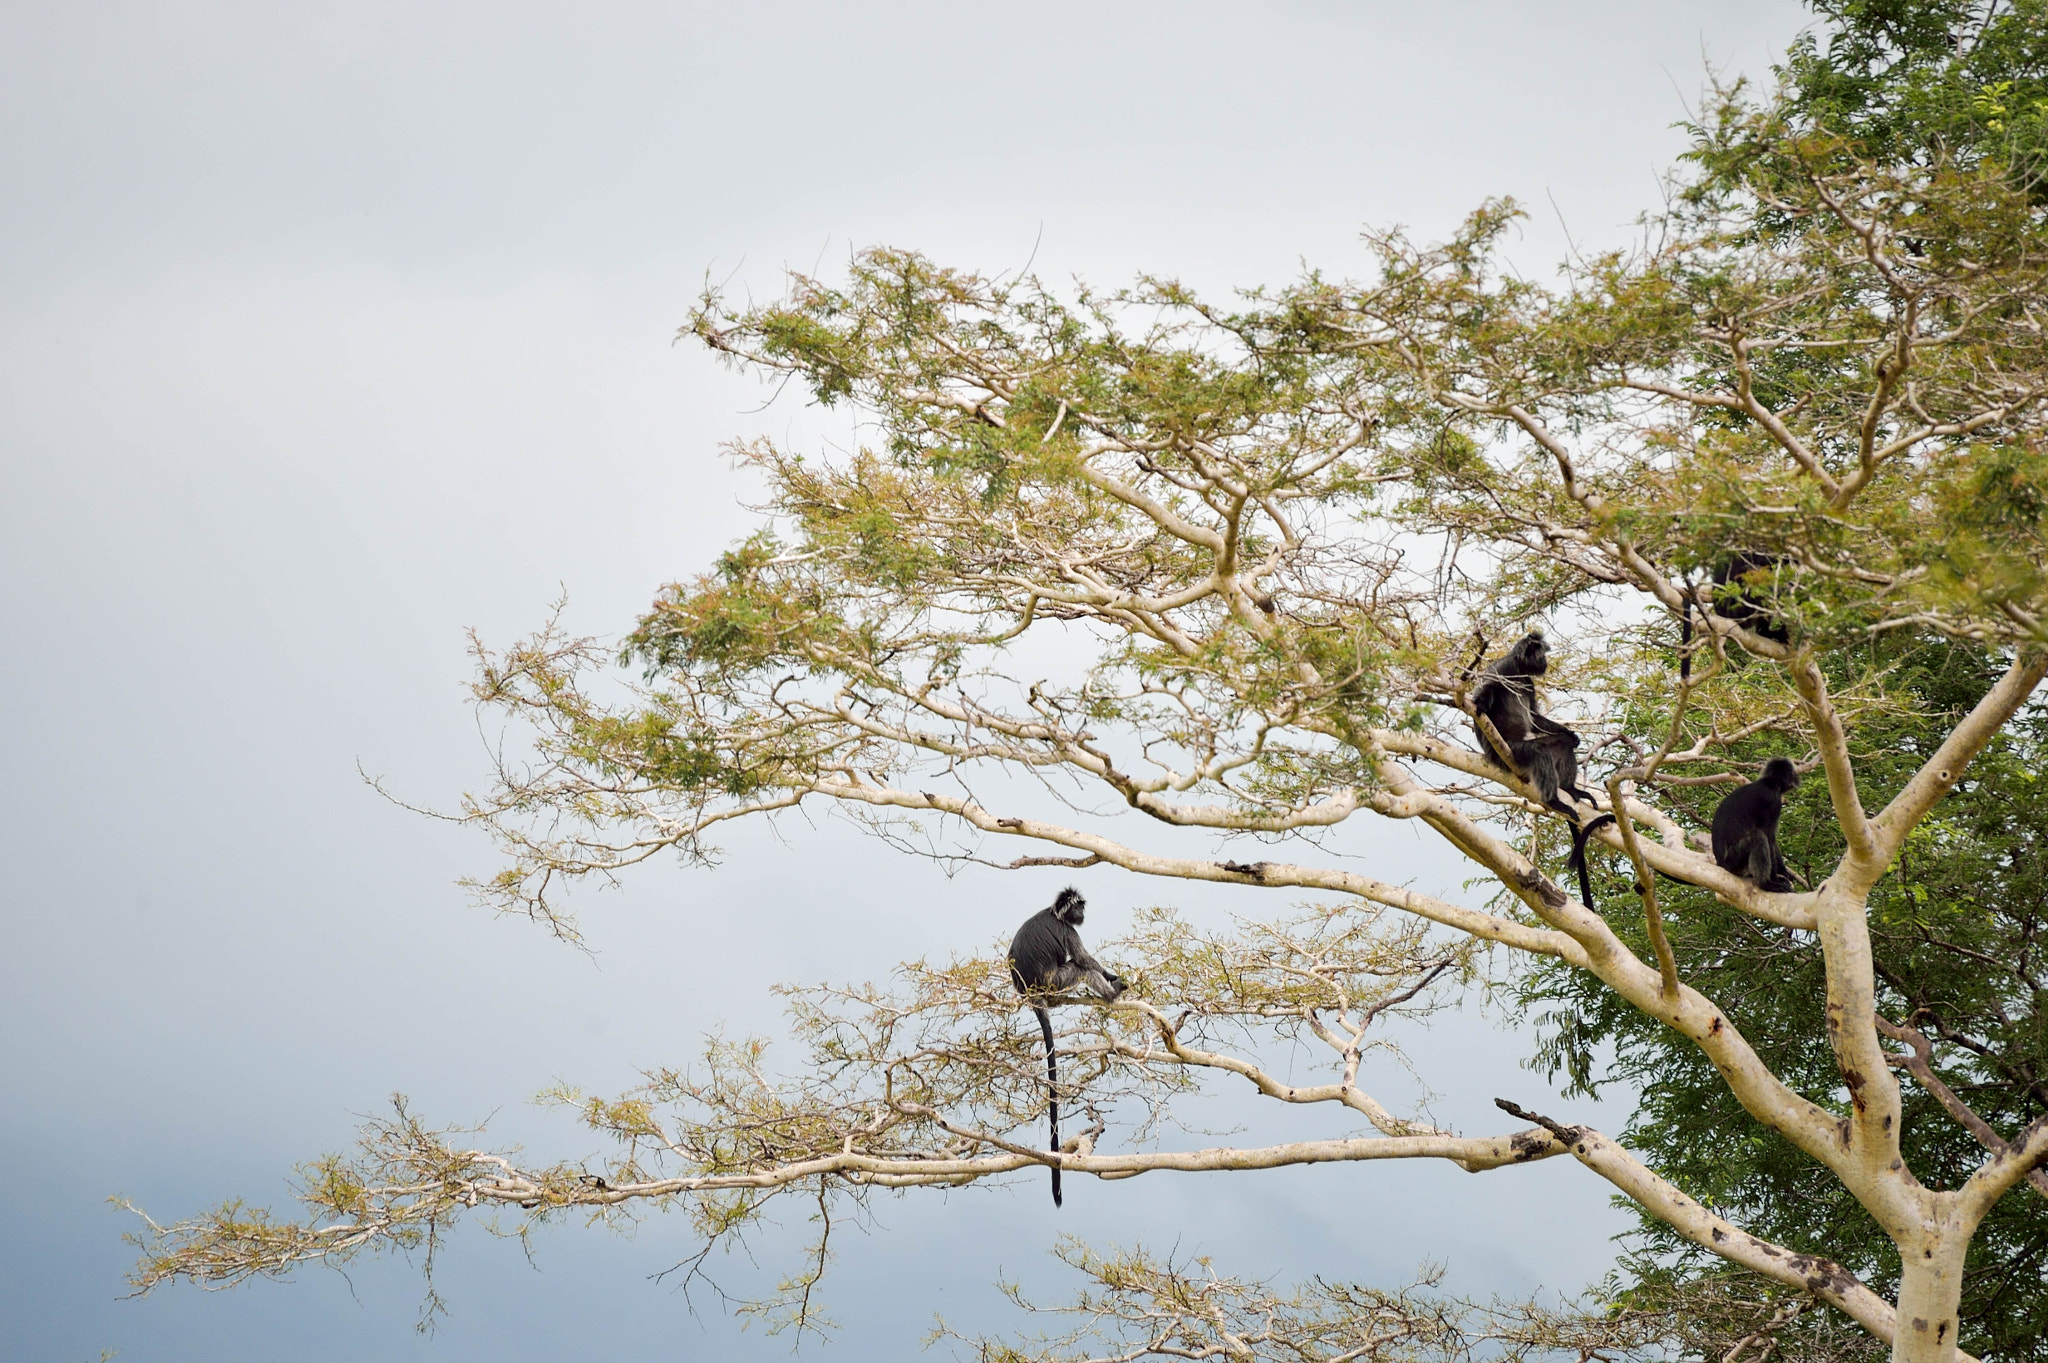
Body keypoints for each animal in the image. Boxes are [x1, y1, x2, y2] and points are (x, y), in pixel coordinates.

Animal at [1008, 887, 1125, 1208]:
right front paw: (1111, 977)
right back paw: (1111, 993)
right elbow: (1085, 959)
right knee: (1079, 967)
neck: (1053, 912)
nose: (1083, 914)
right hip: (1057, 981)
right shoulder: (1067, 929)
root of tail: (1032, 993)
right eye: (1078, 908)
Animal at [1470, 631, 1613, 908]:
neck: (1517, 671)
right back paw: (1553, 801)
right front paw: (1479, 702)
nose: (1545, 662)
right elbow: (1487, 693)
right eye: (1541, 654)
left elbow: (1535, 718)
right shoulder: (1502, 670)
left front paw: (1571, 734)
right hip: (1510, 751)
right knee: (1539, 752)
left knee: (1560, 746)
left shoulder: (1527, 682)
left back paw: (1570, 788)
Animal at [1711, 757, 1802, 892]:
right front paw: (1774, 880)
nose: (1797, 777)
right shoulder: (1772, 800)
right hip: (1734, 861)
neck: (1768, 784)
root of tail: (1721, 863)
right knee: (1757, 836)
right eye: (1792, 773)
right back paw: (1764, 884)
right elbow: (1769, 836)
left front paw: (1784, 873)